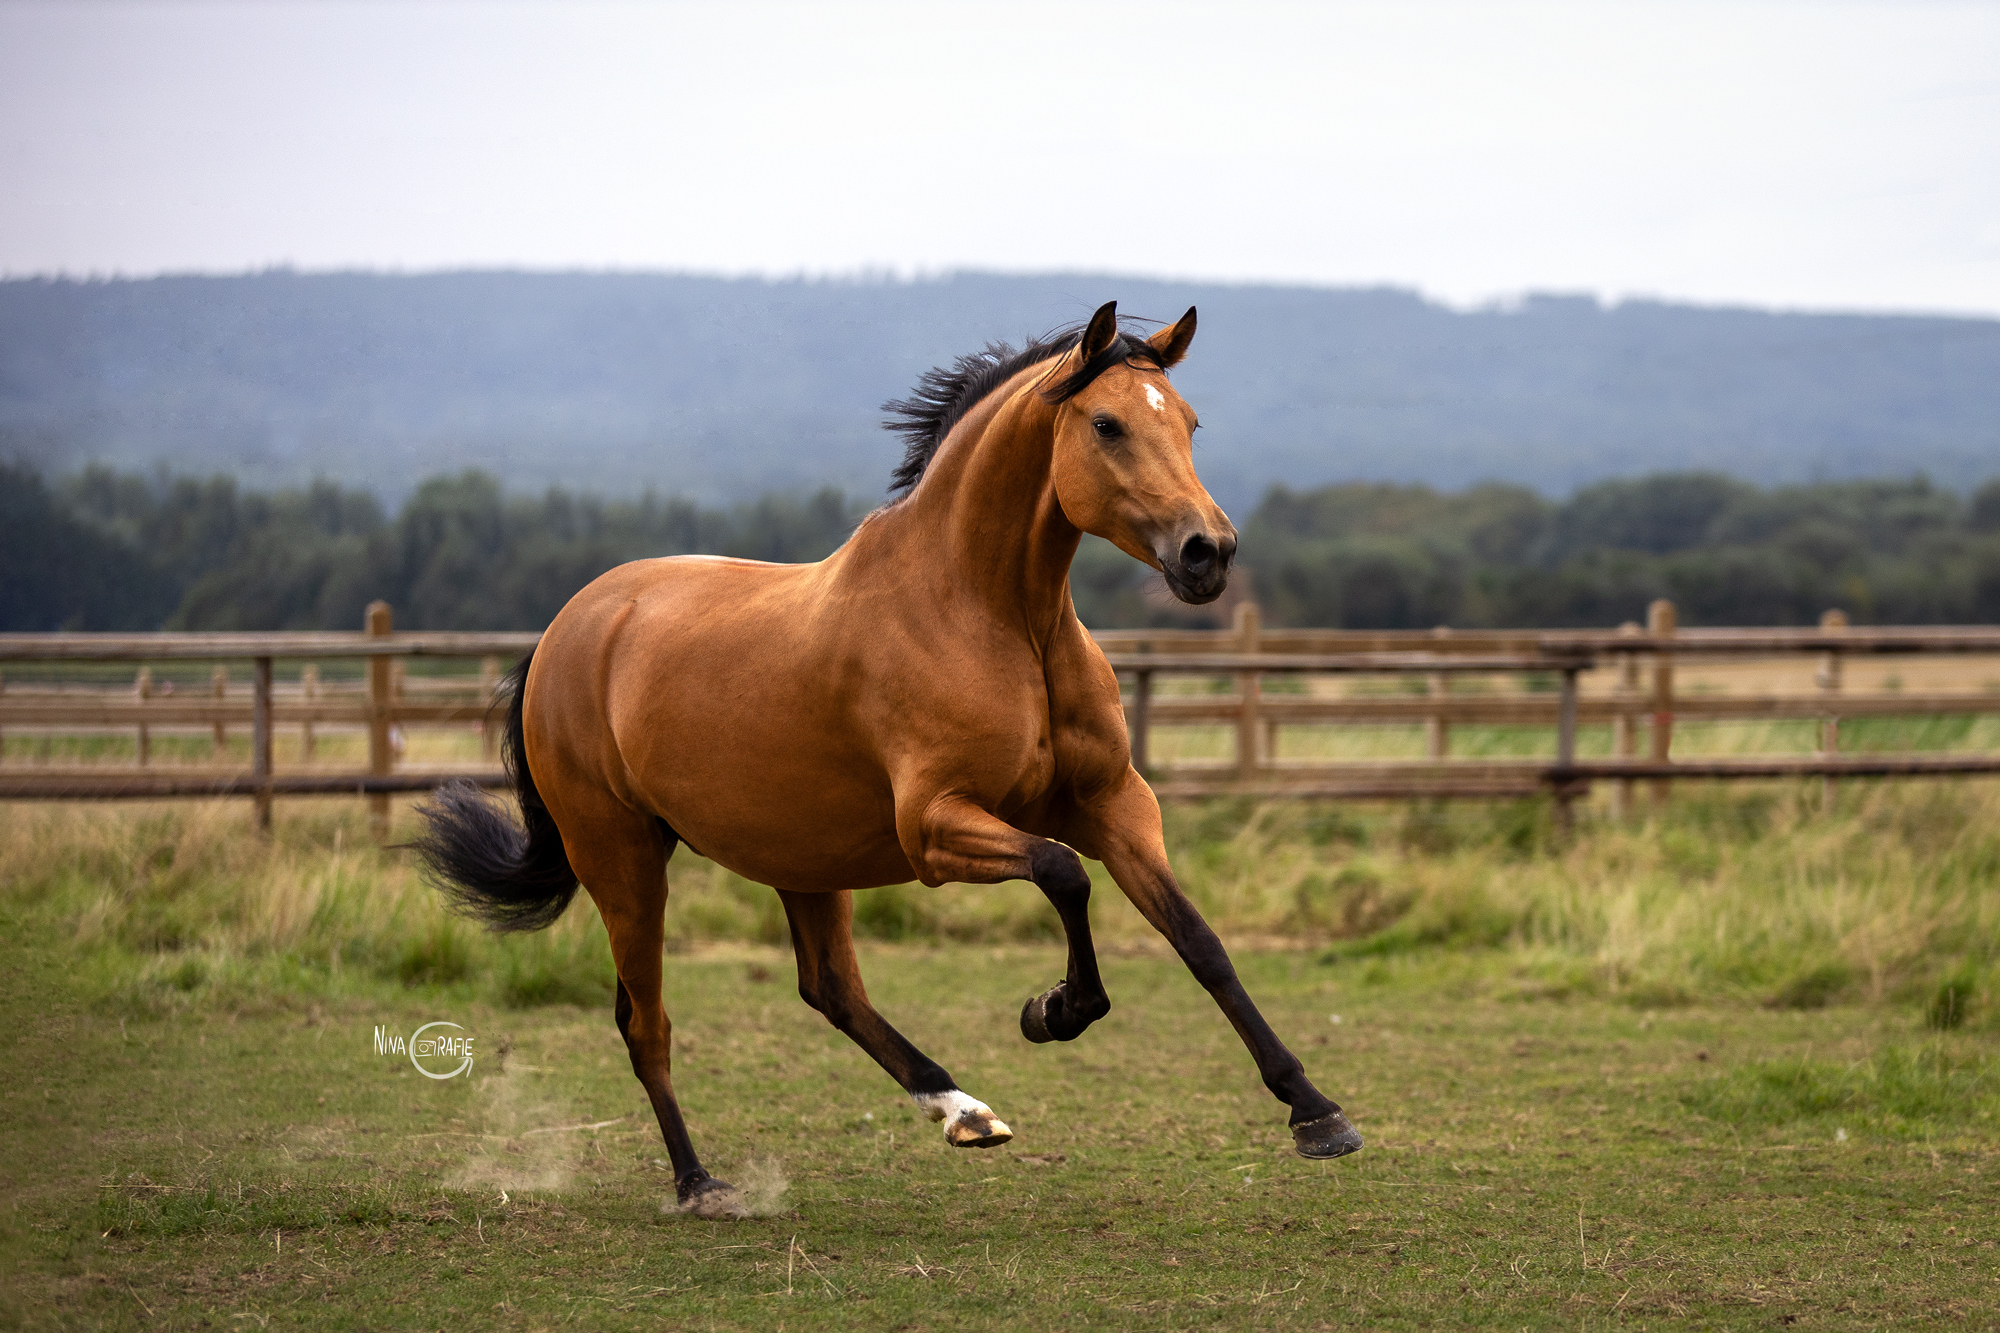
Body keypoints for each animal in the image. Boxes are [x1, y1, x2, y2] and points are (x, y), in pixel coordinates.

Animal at [415, 300, 1363, 1218]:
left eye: (1191, 422)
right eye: (1107, 424)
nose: (1209, 553)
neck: (993, 614)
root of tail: (568, 626)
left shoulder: (1115, 803)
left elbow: (1198, 939)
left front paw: (1315, 1111)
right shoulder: (936, 826)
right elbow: (1063, 873)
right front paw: (1054, 1009)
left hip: (797, 851)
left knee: (830, 988)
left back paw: (965, 1111)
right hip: (622, 854)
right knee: (645, 1021)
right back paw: (700, 1185)